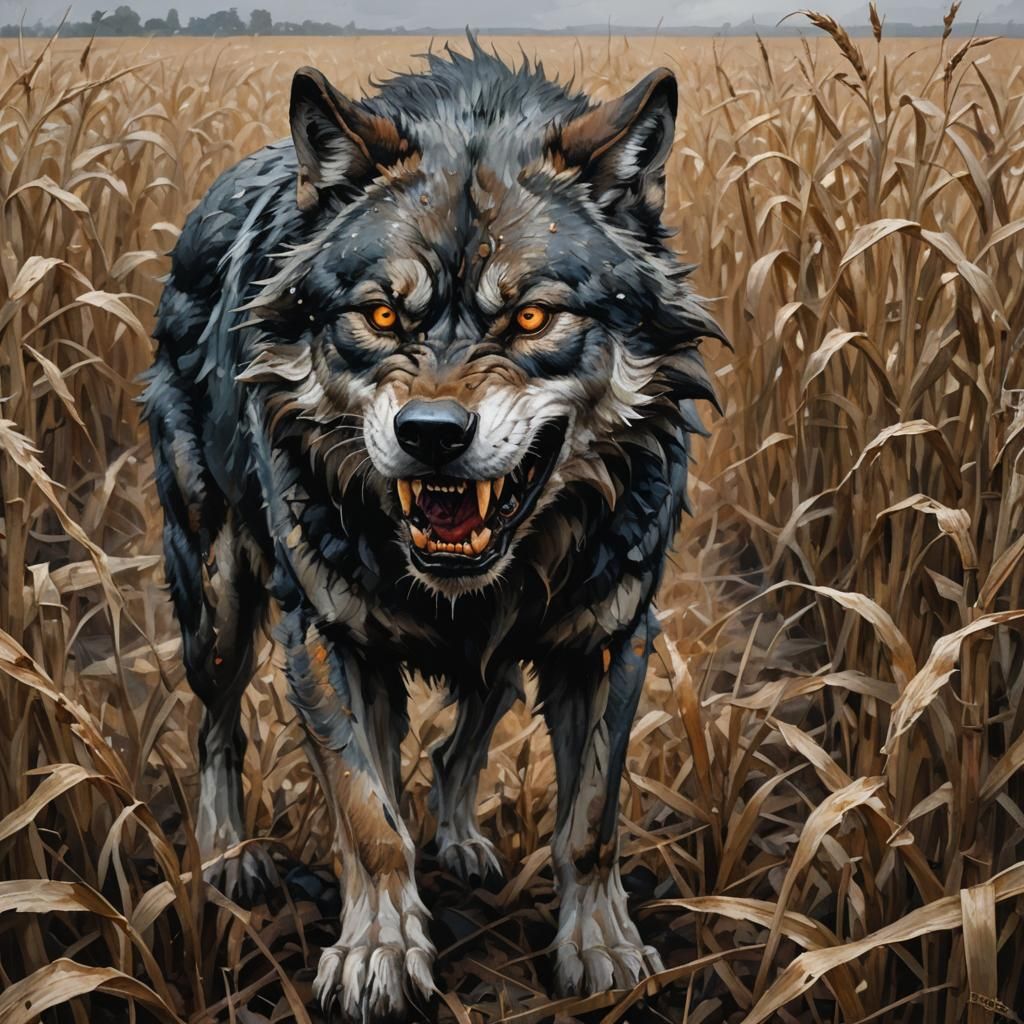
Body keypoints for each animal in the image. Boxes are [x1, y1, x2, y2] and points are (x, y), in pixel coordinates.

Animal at [143, 38, 721, 1021]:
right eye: (381, 316)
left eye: (530, 317)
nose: (432, 434)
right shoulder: (324, 636)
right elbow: (370, 820)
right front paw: (377, 955)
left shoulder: (609, 639)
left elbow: (592, 821)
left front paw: (602, 950)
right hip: (216, 608)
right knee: (216, 728)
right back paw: (231, 863)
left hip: (502, 644)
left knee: (466, 731)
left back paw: (459, 841)